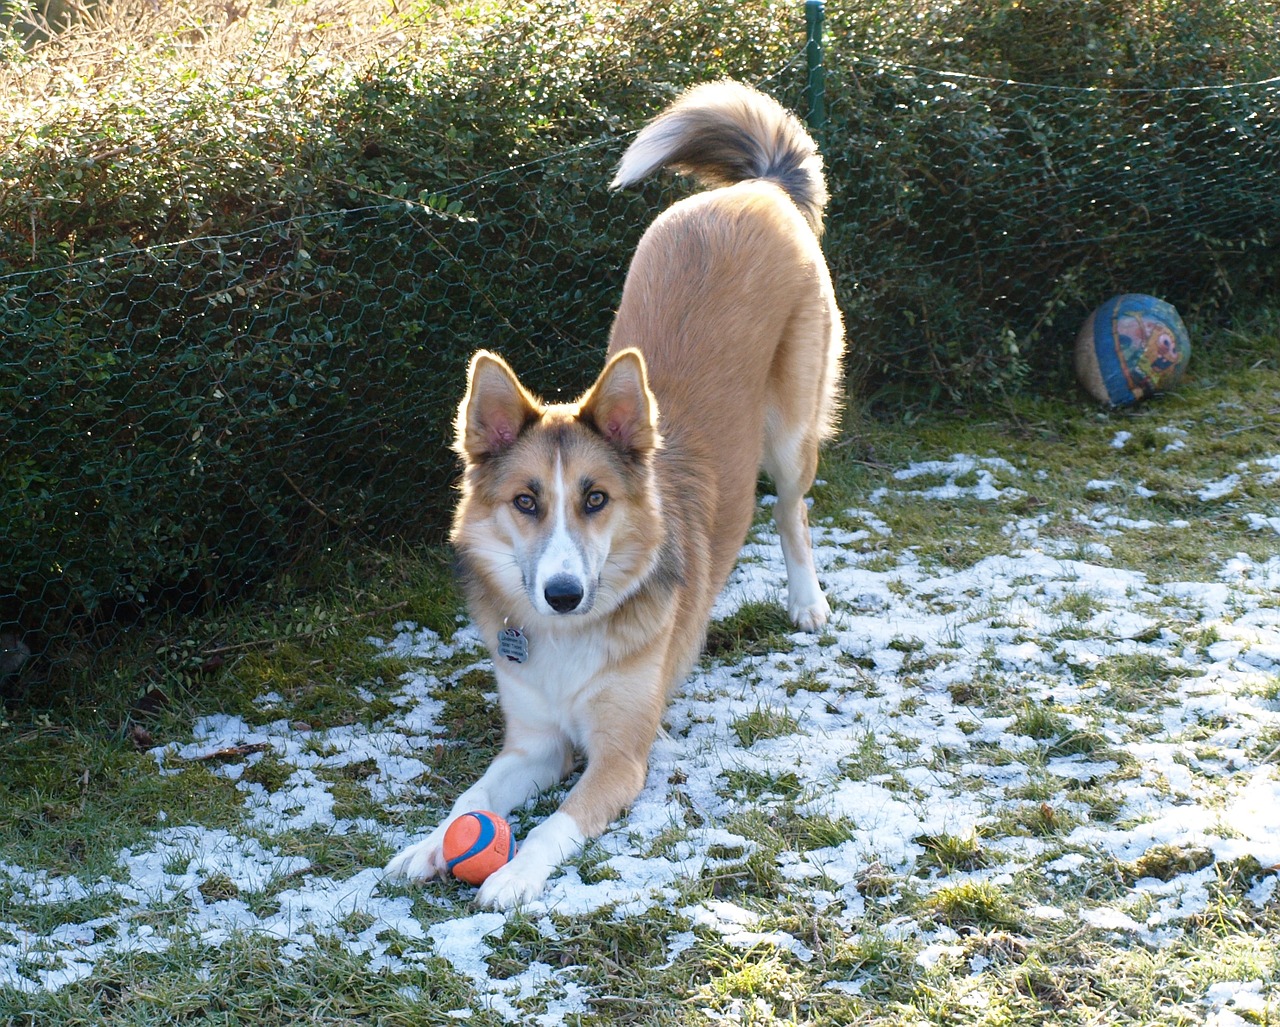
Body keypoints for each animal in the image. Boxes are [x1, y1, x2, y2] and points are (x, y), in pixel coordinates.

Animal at [384, 80, 844, 906]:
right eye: (527, 501)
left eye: (595, 499)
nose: (563, 593)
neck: (568, 640)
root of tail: (759, 189)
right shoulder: (533, 742)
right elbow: (473, 797)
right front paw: (430, 842)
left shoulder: (622, 757)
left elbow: (558, 819)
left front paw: (514, 875)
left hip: (793, 429)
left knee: (792, 510)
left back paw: (806, 600)